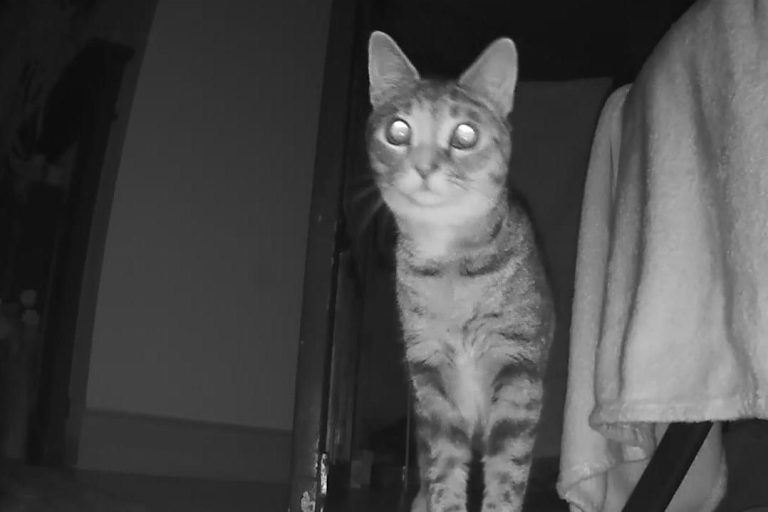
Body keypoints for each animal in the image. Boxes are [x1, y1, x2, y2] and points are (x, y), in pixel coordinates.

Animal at [366, 31, 555, 512]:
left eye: (465, 135)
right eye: (397, 131)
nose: (424, 167)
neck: (450, 262)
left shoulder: (517, 368)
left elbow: (507, 468)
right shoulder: (429, 376)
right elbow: (443, 465)